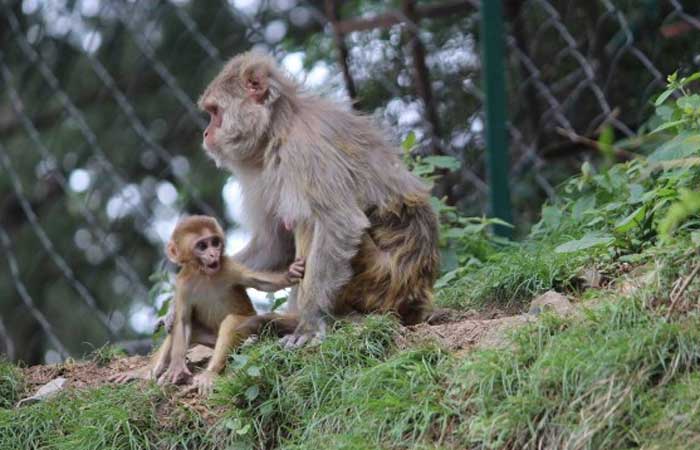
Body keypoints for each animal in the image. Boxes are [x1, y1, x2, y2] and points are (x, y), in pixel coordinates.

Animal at [110, 214, 304, 394]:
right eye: (202, 246)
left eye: (215, 243)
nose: (213, 254)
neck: (204, 275)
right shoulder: (183, 285)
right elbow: (183, 322)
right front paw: (177, 367)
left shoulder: (230, 267)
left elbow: (262, 283)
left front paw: (291, 274)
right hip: (210, 338)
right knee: (179, 328)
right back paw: (148, 371)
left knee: (232, 322)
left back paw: (209, 373)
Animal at [197, 52, 438, 348]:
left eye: (215, 112)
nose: (206, 133)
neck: (278, 127)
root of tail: (418, 295)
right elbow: (274, 245)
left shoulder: (305, 150)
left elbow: (339, 221)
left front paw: (310, 323)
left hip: (382, 282)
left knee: (309, 220)